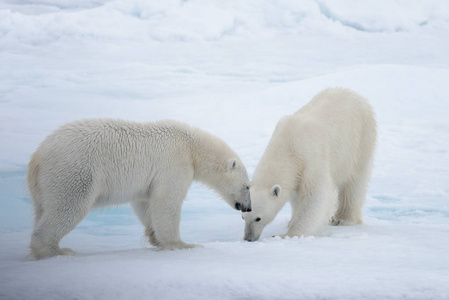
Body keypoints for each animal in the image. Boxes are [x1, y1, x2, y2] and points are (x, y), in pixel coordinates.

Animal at [27, 118, 252, 258]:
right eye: (248, 186)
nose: (248, 208)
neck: (192, 147)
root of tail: (37, 157)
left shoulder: (150, 180)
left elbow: (144, 203)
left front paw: (155, 237)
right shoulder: (174, 164)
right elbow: (166, 202)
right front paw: (182, 244)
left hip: (45, 186)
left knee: (43, 209)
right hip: (74, 173)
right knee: (68, 206)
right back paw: (57, 250)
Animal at [243, 87, 376, 241]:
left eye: (258, 218)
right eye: (243, 216)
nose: (248, 238)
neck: (286, 146)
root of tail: (357, 96)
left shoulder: (310, 158)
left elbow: (316, 195)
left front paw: (287, 234)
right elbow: (297, 196)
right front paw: (291, 221)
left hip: (360, 142)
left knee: (354, 183)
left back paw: (343, 219)